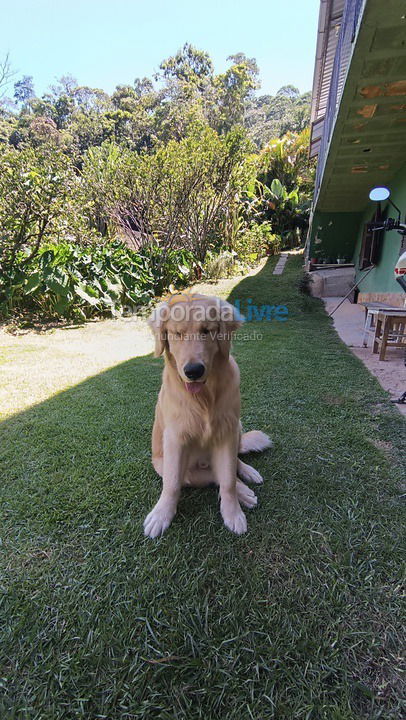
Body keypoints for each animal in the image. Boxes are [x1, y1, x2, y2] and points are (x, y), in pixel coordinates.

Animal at [144, 290, 272, 536]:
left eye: (206, 330)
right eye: (177, 334)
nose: (193, 371)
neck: (203, 398)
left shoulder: (227, 432)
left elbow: (228, 479)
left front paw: (232, 513)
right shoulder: (175, 439)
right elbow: (172, 484)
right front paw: (161, 514)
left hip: (237, 426)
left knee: (231, 466)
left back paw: (247, 476)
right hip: (177, 467)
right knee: (208, 475)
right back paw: (245, 492)